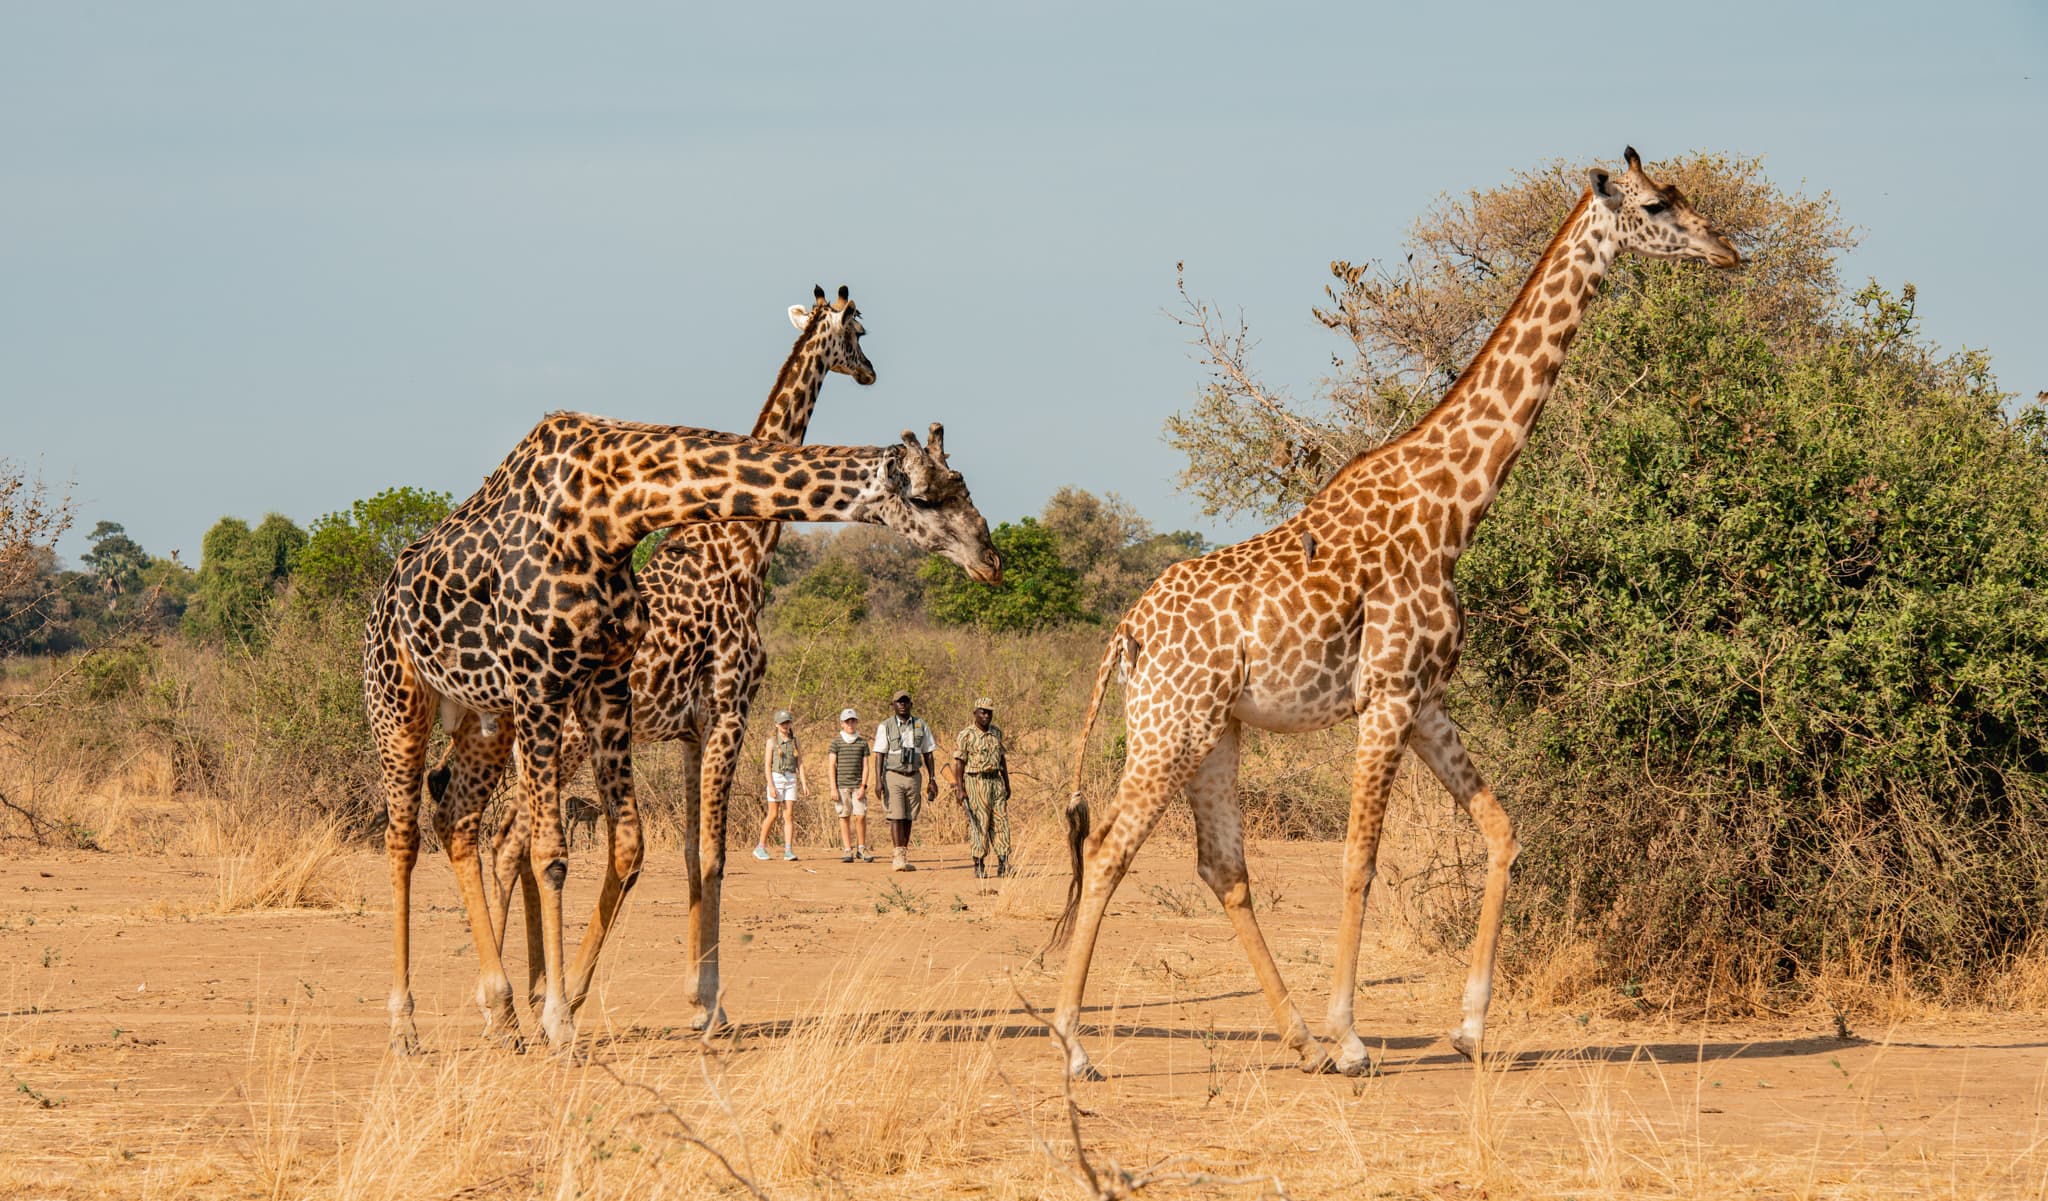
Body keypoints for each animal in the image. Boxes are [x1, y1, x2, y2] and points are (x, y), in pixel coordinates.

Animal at [369, 412, 999, 1053]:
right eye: (924, 497)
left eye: (963, 485)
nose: (991, 560)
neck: (613, 513)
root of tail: (384, 597)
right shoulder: (549, 685)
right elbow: (556, 854)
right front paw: (564, 1019)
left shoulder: (610, 687)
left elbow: (641, 847)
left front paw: (599, 1003)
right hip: (401, 701)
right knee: (407, 837)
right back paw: (407, 1024)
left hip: (484, 719)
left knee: (457, 818)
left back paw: (499, 1012)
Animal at [465, 284, 875, 1032]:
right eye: (858, 330)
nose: (871, 371)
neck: (746, 546)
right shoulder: (730, 707)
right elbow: (714, 853)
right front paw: (706, 1004)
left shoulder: (690, 728)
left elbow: (691, 852)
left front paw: (706, 997)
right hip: (568, 739)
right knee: (511, 841)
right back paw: (527, 997)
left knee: (506, 839)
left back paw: (518, 995)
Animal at [1047, 147, 1740, 1080]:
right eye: (1660, 204)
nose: (1728, 249)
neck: (1455, 505)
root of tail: (1127, 632)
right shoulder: (1384, 698)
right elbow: (1358, 859)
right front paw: (1352, 1037)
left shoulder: (1426, 699)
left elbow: (1502, 830)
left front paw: (1469, 1026)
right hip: (1172, 724)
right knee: (1109, 846)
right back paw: (1079, 1044)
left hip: (1215, 730)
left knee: (1221, 865)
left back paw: (1296, 1040)